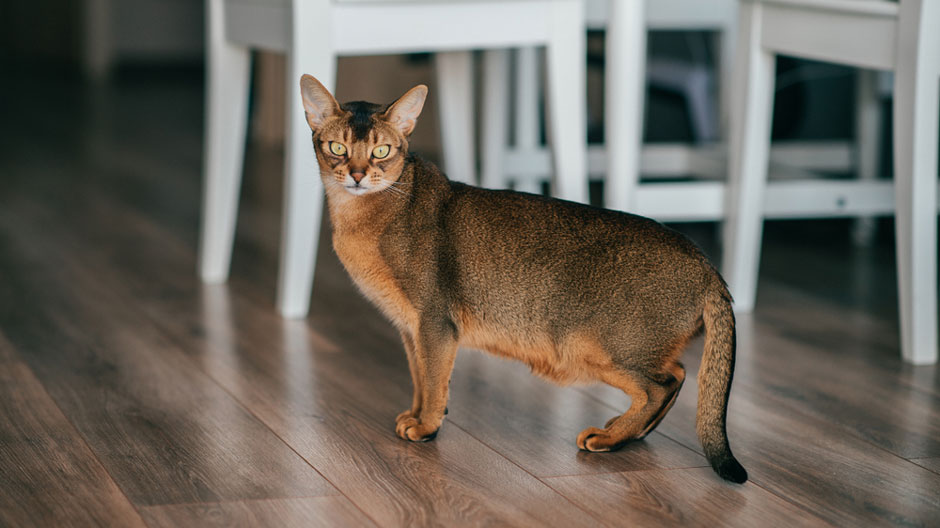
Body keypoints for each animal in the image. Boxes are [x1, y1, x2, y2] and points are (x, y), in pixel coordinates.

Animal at [302, 73, 748, 482]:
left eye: (381, 151)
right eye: (338, 148)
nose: (357, 175)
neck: (368, 217)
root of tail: (708, 268)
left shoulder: (435, 323)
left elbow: (434, 379)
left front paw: (427, 425)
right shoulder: (410, 327)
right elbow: (419, 376)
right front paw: (415, 413)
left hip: (594, 345)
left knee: (666, 383)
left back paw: (610, 439)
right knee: (677, 376)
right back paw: (628, 433)